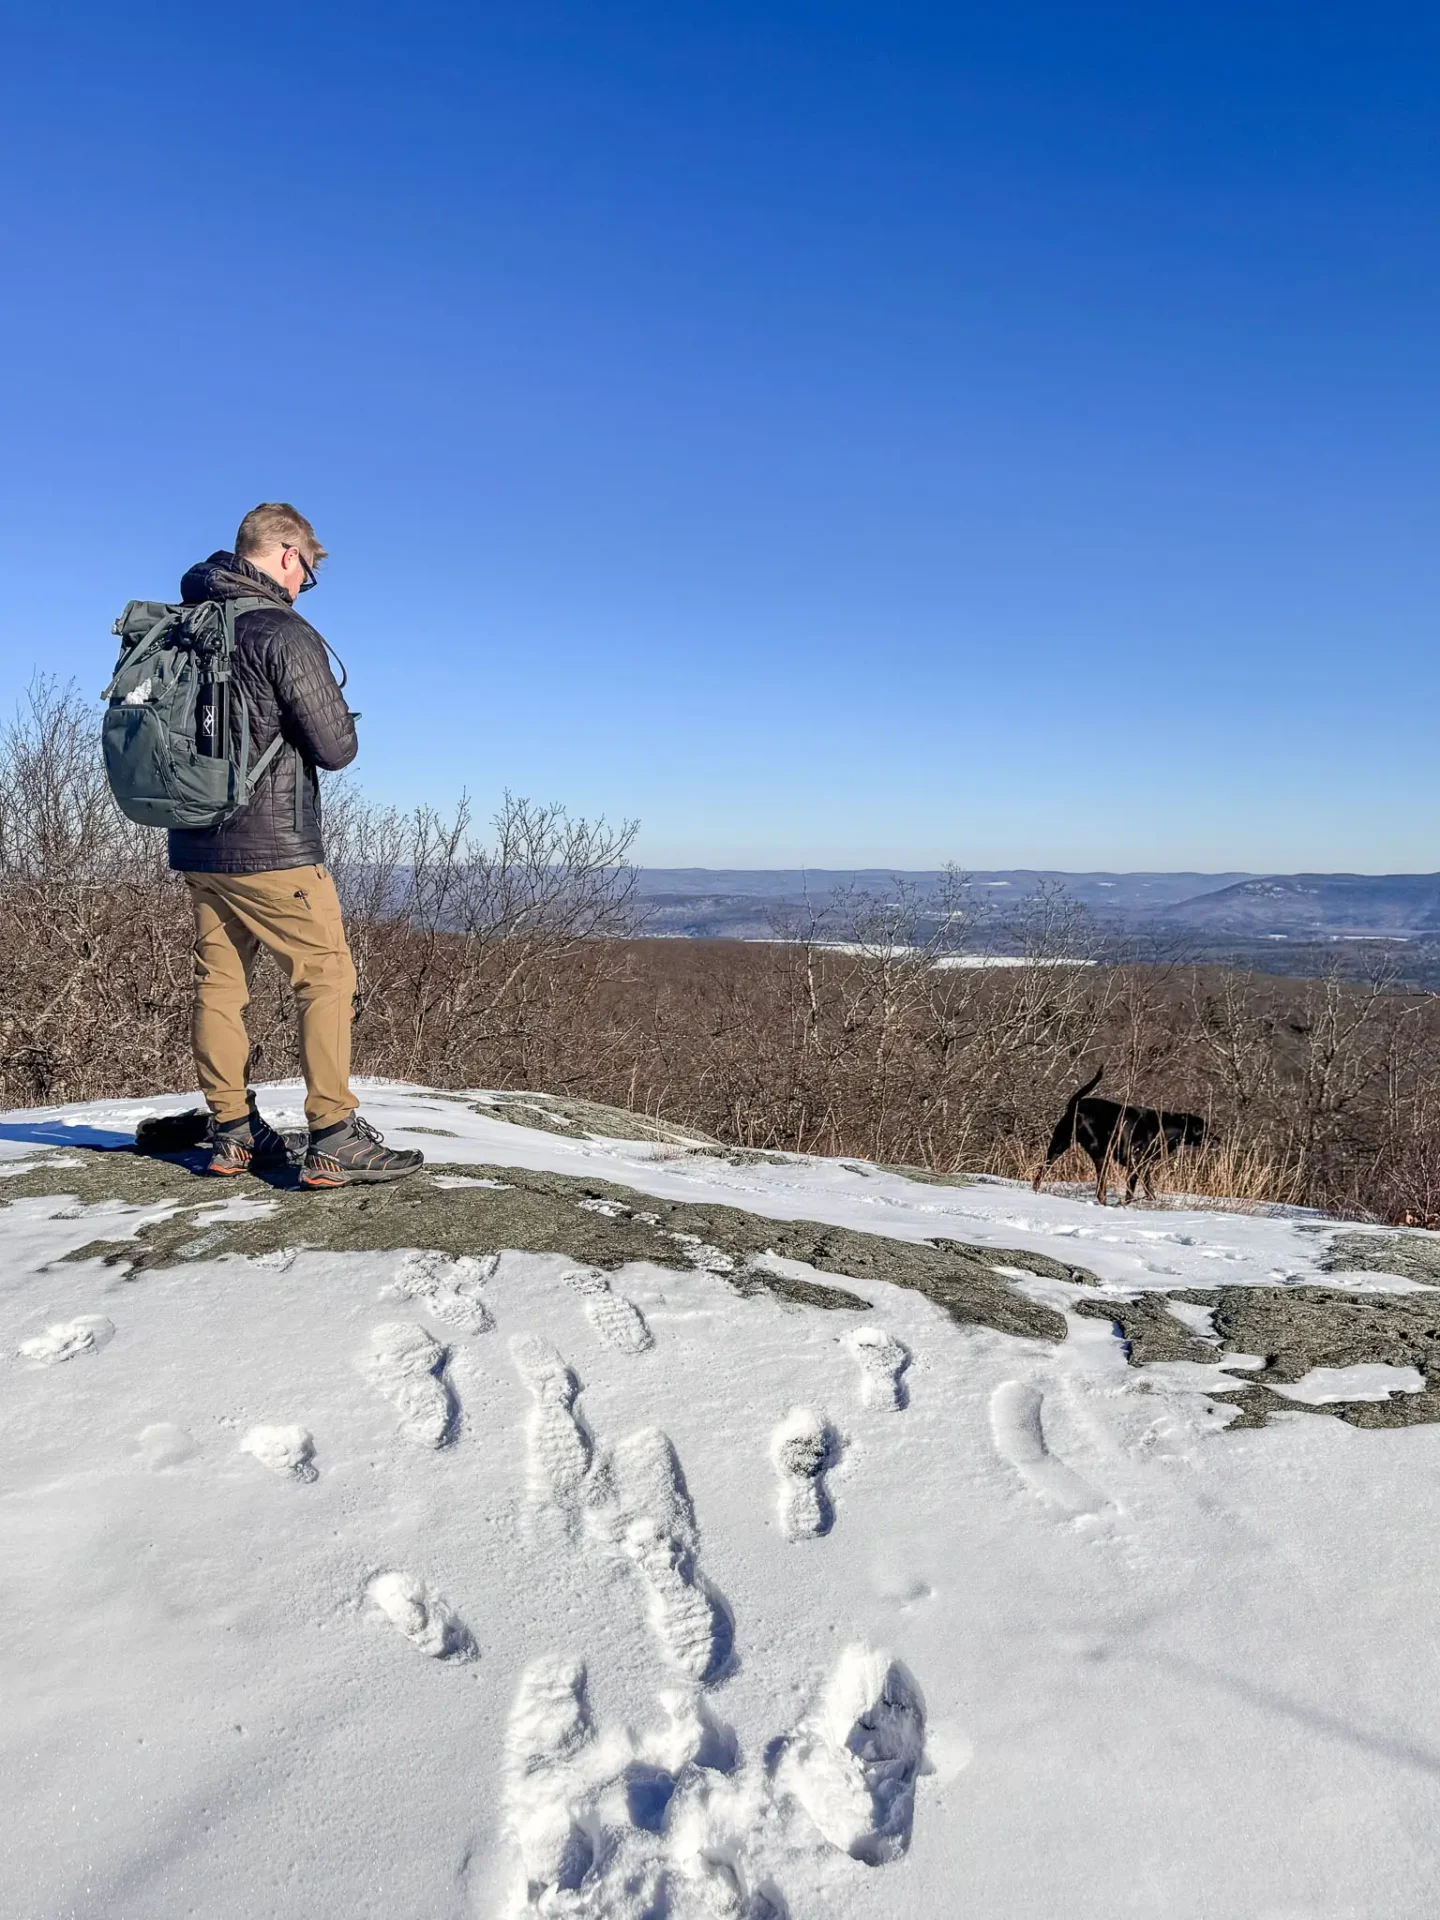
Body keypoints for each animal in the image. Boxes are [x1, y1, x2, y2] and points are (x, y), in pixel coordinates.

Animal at [1036, 1067, 1205, 1198]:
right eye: (1203, 1129)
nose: (1213, 1138)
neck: (1165, 1127)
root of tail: (1075, 1106)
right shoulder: (1134, 1162)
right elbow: (1130, 1191)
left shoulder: (1144, 1166)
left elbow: (1149, 1189)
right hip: (1101, 1155)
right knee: (1100, 1189)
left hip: (1058, 1146)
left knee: (1040, 1175)